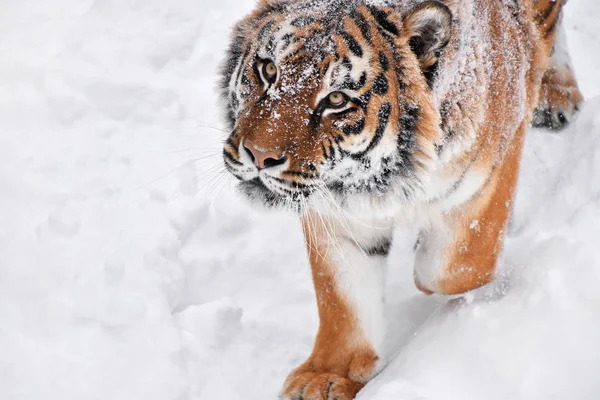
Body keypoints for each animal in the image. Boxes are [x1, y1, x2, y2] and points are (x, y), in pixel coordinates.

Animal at [219, 1, 580, 398]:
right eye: (268, 69)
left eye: (336, 99)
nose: (258, 155)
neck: (382, 175)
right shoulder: (336, 213)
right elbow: (343, 298)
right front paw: (327, 376)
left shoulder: (490, 171)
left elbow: (451, 267)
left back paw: (557, 92)